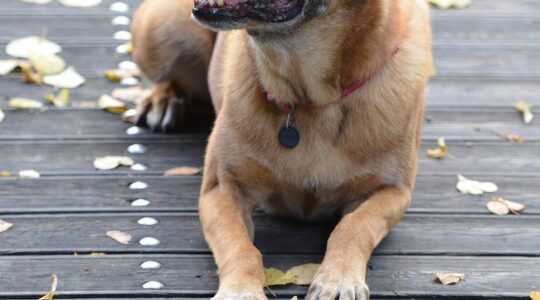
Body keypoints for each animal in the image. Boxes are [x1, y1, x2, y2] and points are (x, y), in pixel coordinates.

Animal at [133, 0, 432, 298]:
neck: (312, 100)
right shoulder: (223, 189)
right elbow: (240, 247)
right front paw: (241, 290)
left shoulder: (392, 192)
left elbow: (353, 226)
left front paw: (338, 279)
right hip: (158, 28)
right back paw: (163, 100)